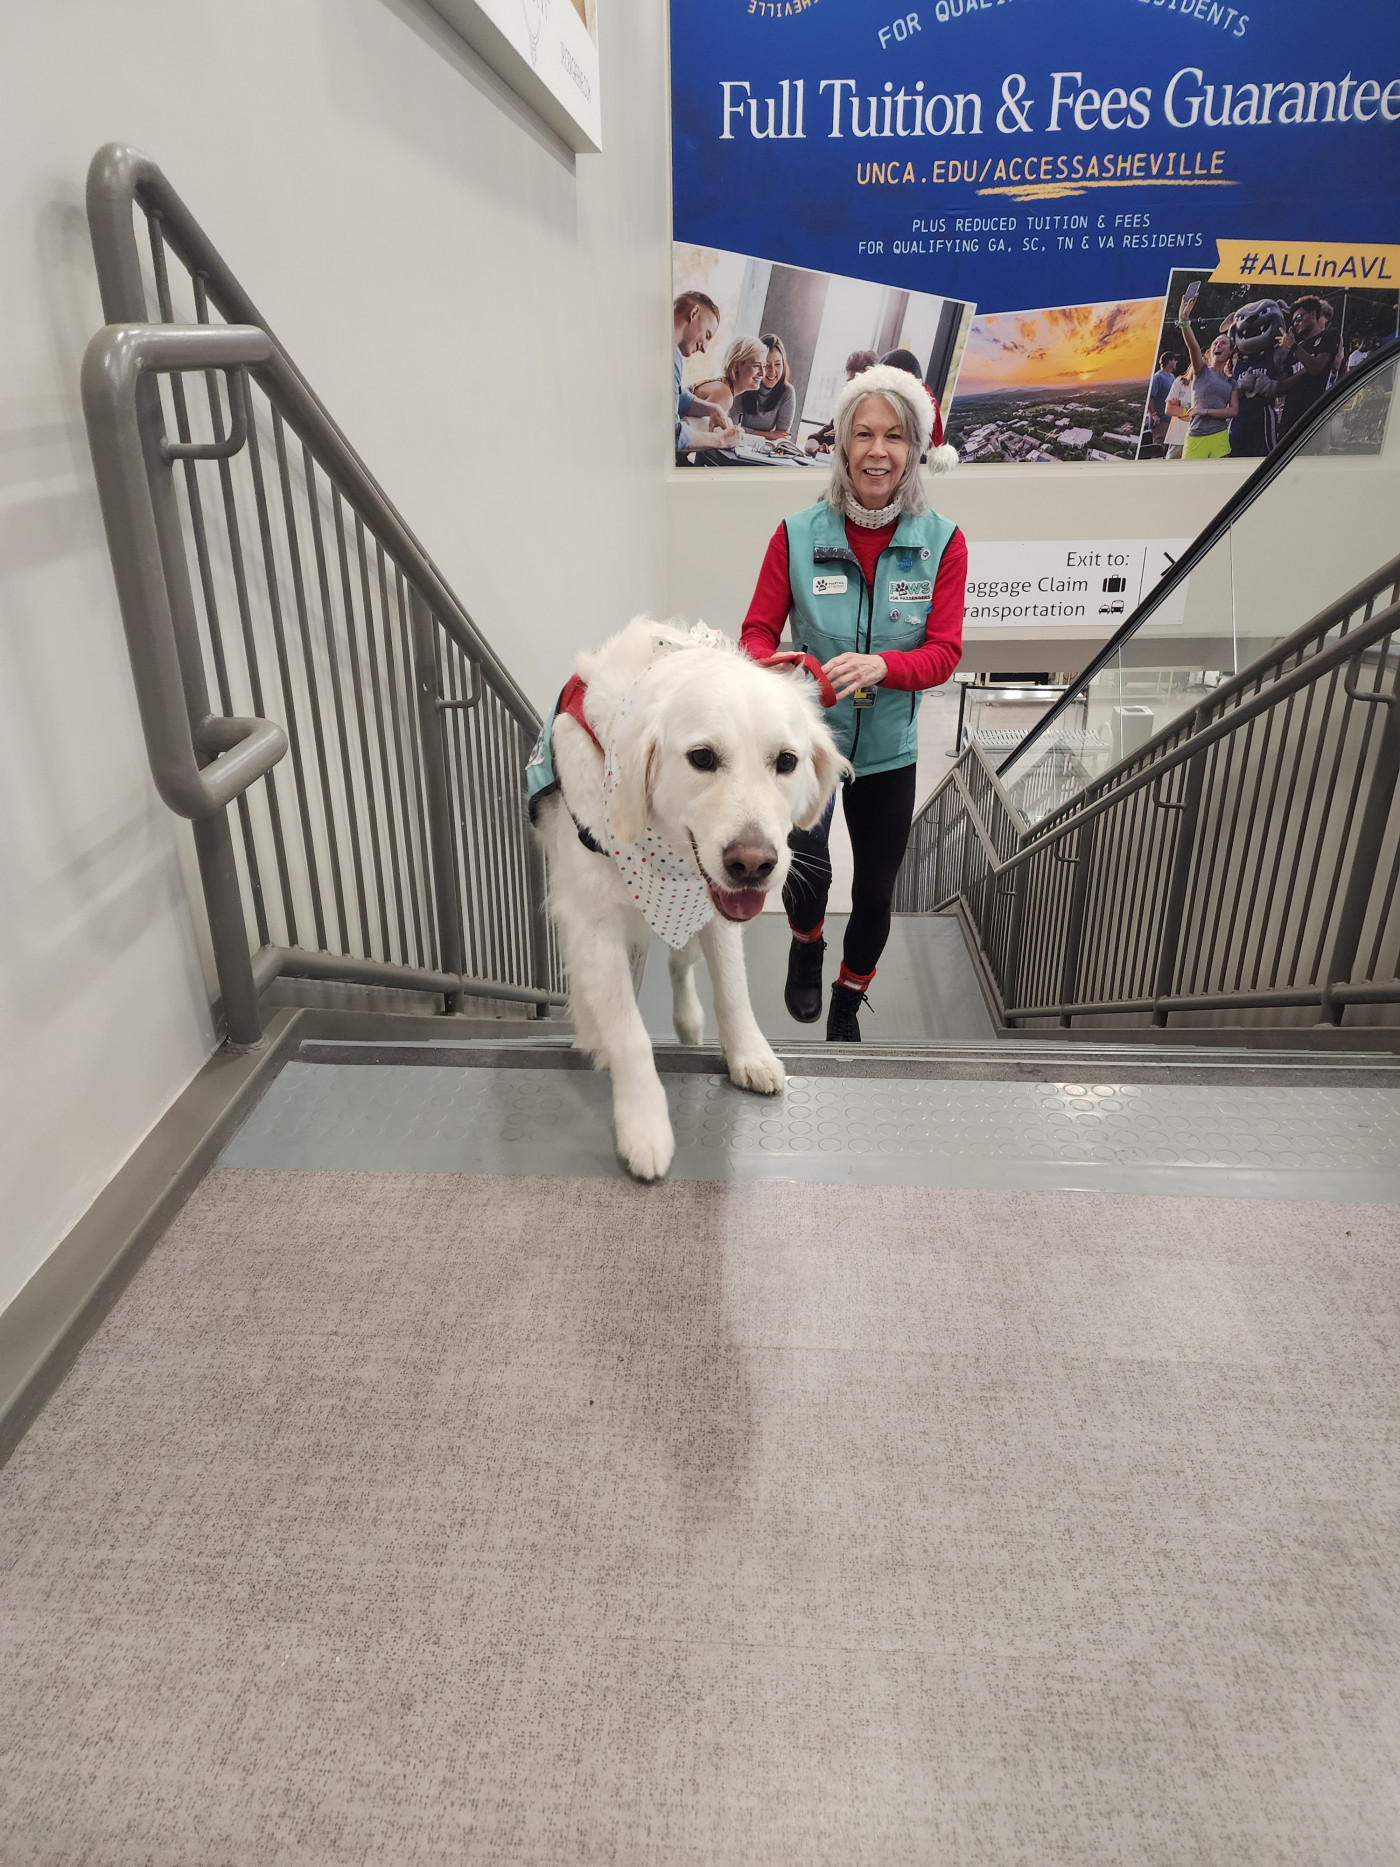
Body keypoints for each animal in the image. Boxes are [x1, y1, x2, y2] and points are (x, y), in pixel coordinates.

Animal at [530, 619, 847, 1180]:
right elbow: (628, 1032)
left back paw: (689, 1022)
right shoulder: (592, 919)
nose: (753, 865)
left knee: (681, 963)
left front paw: (749, 1056)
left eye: (787, 761)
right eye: (702, 758)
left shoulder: (712, 910)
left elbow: (733, 991)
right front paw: (644, 1127)